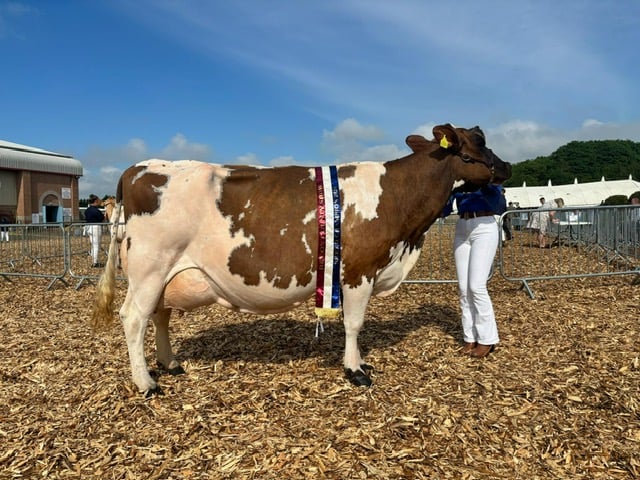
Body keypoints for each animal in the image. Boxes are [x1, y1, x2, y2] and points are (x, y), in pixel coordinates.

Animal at [91, 124, 511, 396]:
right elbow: (355, 324)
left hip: (167, 273)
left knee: (159, 315)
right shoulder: (359, 270)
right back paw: (147, 383)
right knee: (134, 318)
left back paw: (170, 364)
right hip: (149, 268)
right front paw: (356, 369)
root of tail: (137, 167)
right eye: (478, 141)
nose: (506, 167)